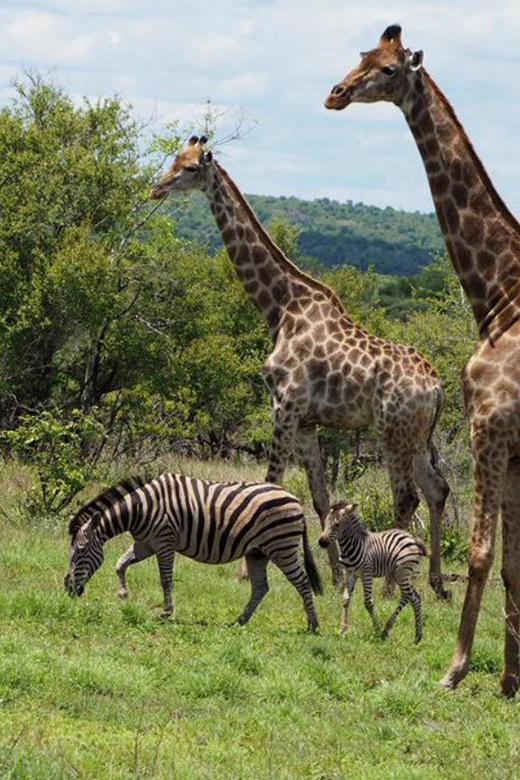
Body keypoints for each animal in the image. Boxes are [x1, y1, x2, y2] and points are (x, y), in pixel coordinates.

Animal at [64, 472, 322, 632]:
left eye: (80, 551)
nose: (68, 588)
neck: (141, 509)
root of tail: (295, 500)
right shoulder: (145, 544)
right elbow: (120, 564)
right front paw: (123, 593)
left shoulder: (165, 541)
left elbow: (165, 579)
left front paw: (166, 613)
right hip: (257, 552)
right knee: (260, 587)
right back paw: (239, 621)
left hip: (281, 546)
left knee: (301, 581)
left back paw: (313, 625)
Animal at [151, 136, 450, 596]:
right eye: (173, 161)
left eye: (189, 169)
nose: (157, 188)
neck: (280, 307)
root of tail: (437, 387)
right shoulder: (308, 421)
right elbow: (320, 497)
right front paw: (334, 574)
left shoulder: (285, 405)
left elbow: (270, 482)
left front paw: (246, 570)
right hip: (416, 436)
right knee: (437, 490)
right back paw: (436, 583)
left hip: (393, 432)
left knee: (407, 497)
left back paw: (390, 587)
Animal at [318, 502, 428, 644]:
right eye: (325, 522)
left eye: (337, 524)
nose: (322, 542)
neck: (351, 546)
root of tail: (411, 538)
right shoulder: (351, 573)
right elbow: (345, 600)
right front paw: (342, 629)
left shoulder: (366, 573)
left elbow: (368, 603)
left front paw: (377, 629)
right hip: (398, 574)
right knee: (415, 597)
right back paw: (417, 636)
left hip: (402, 572)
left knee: (408, 596)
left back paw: (387, 630)